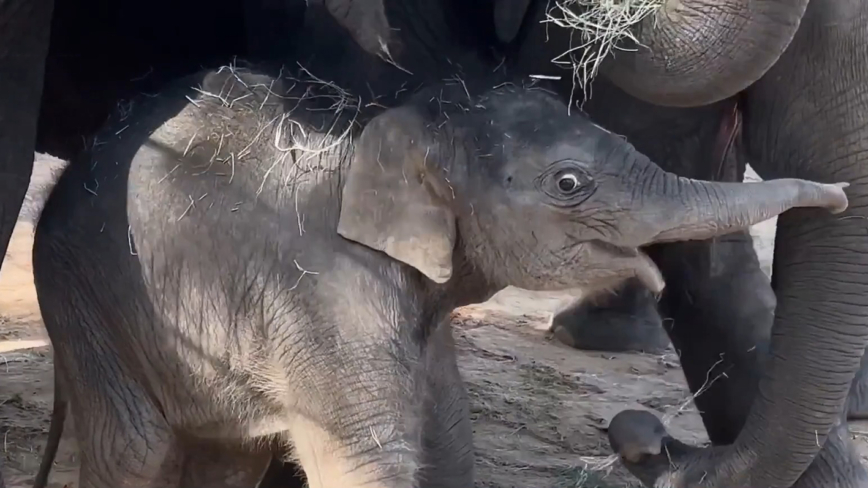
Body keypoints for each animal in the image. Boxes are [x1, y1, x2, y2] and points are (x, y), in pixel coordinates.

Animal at [32, 65, 848, 488]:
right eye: (570, 183)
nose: (839, 195)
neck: (392, 130)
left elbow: (450, 439)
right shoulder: (324, 296)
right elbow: (367, 456)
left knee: (226, 460)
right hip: (81, 295)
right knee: (134, 450)